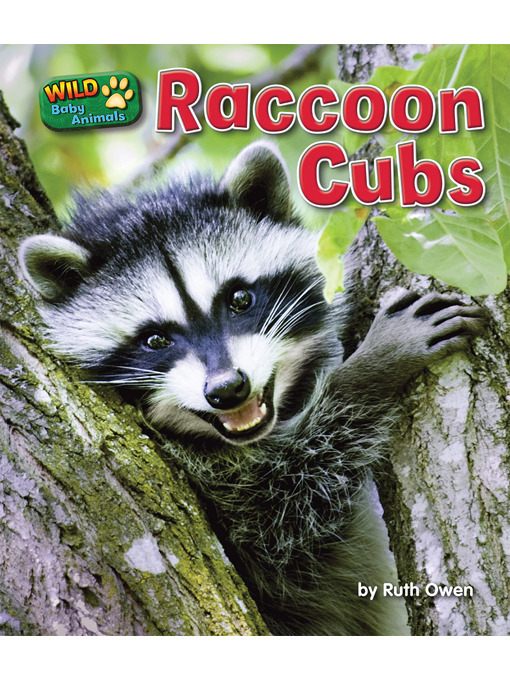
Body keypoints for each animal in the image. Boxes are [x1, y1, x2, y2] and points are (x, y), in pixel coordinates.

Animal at [19, 141, 486, 635]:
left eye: (240, 299)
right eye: (155, 339)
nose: (228, 389)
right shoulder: (226, 500)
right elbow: (286, 509)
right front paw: (368, 370)